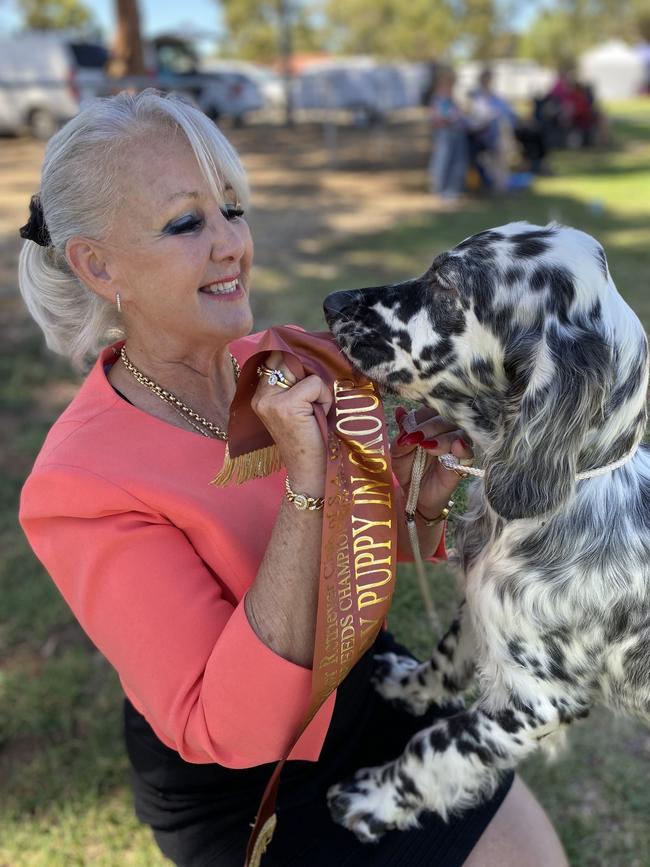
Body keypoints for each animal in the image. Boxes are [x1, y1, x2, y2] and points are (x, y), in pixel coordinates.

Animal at [320, 222, 648, 840]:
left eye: (446, 285)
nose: (332, 302)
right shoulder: (477, 608)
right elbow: (443, 661)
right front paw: (405, 684)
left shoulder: (538, 700)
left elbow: (438, 747)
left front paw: (372, 800)